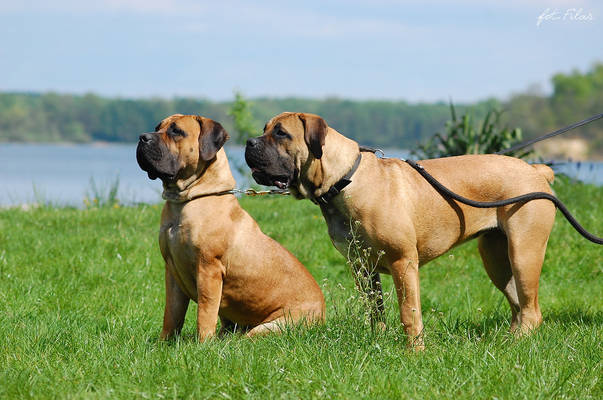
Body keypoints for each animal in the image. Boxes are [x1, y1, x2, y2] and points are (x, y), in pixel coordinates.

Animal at [137, 113, 326, 340]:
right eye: (158, 127)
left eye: (176, 131)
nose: (142, 137)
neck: (185, 201)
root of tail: (323, 312)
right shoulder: (172, 272)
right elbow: (172, 315)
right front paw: (165, 342)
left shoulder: (208, 269)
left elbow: (205, 312)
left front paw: (203, 343)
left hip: (271, 325)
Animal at [245, 111, 556, 346]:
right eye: (264, 130)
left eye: (281, 133)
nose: (248, 142)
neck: (344, 181)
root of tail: (536, 169)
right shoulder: (362, 266)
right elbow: (376, 310)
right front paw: (379, 340)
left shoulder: (402, 261)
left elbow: (409, 311)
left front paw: (414, 351)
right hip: (496, 257)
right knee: (518, 304)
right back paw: (507, 340)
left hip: (524, 252)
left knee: (531, 309)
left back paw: (517, 343)